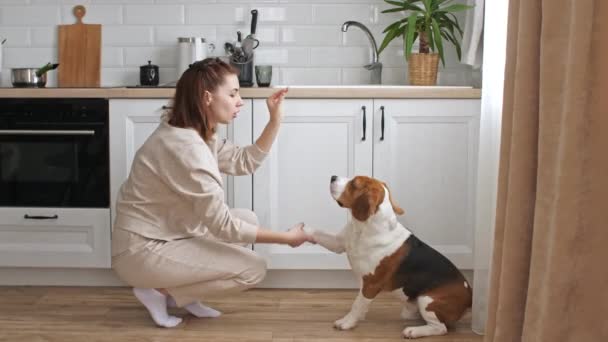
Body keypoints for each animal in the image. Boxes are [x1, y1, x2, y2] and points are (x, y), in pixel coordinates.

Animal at [306, 176, 472, 340]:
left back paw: (413, 331)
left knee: (440, 328)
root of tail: (469, 296)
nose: (332, 177)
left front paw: (347, 322)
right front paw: (303, 230)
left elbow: (357, 304)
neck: (364, 228)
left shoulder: (371, 284)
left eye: (353, 184)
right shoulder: (338, 243)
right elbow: (317, 234)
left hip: (427, 300)